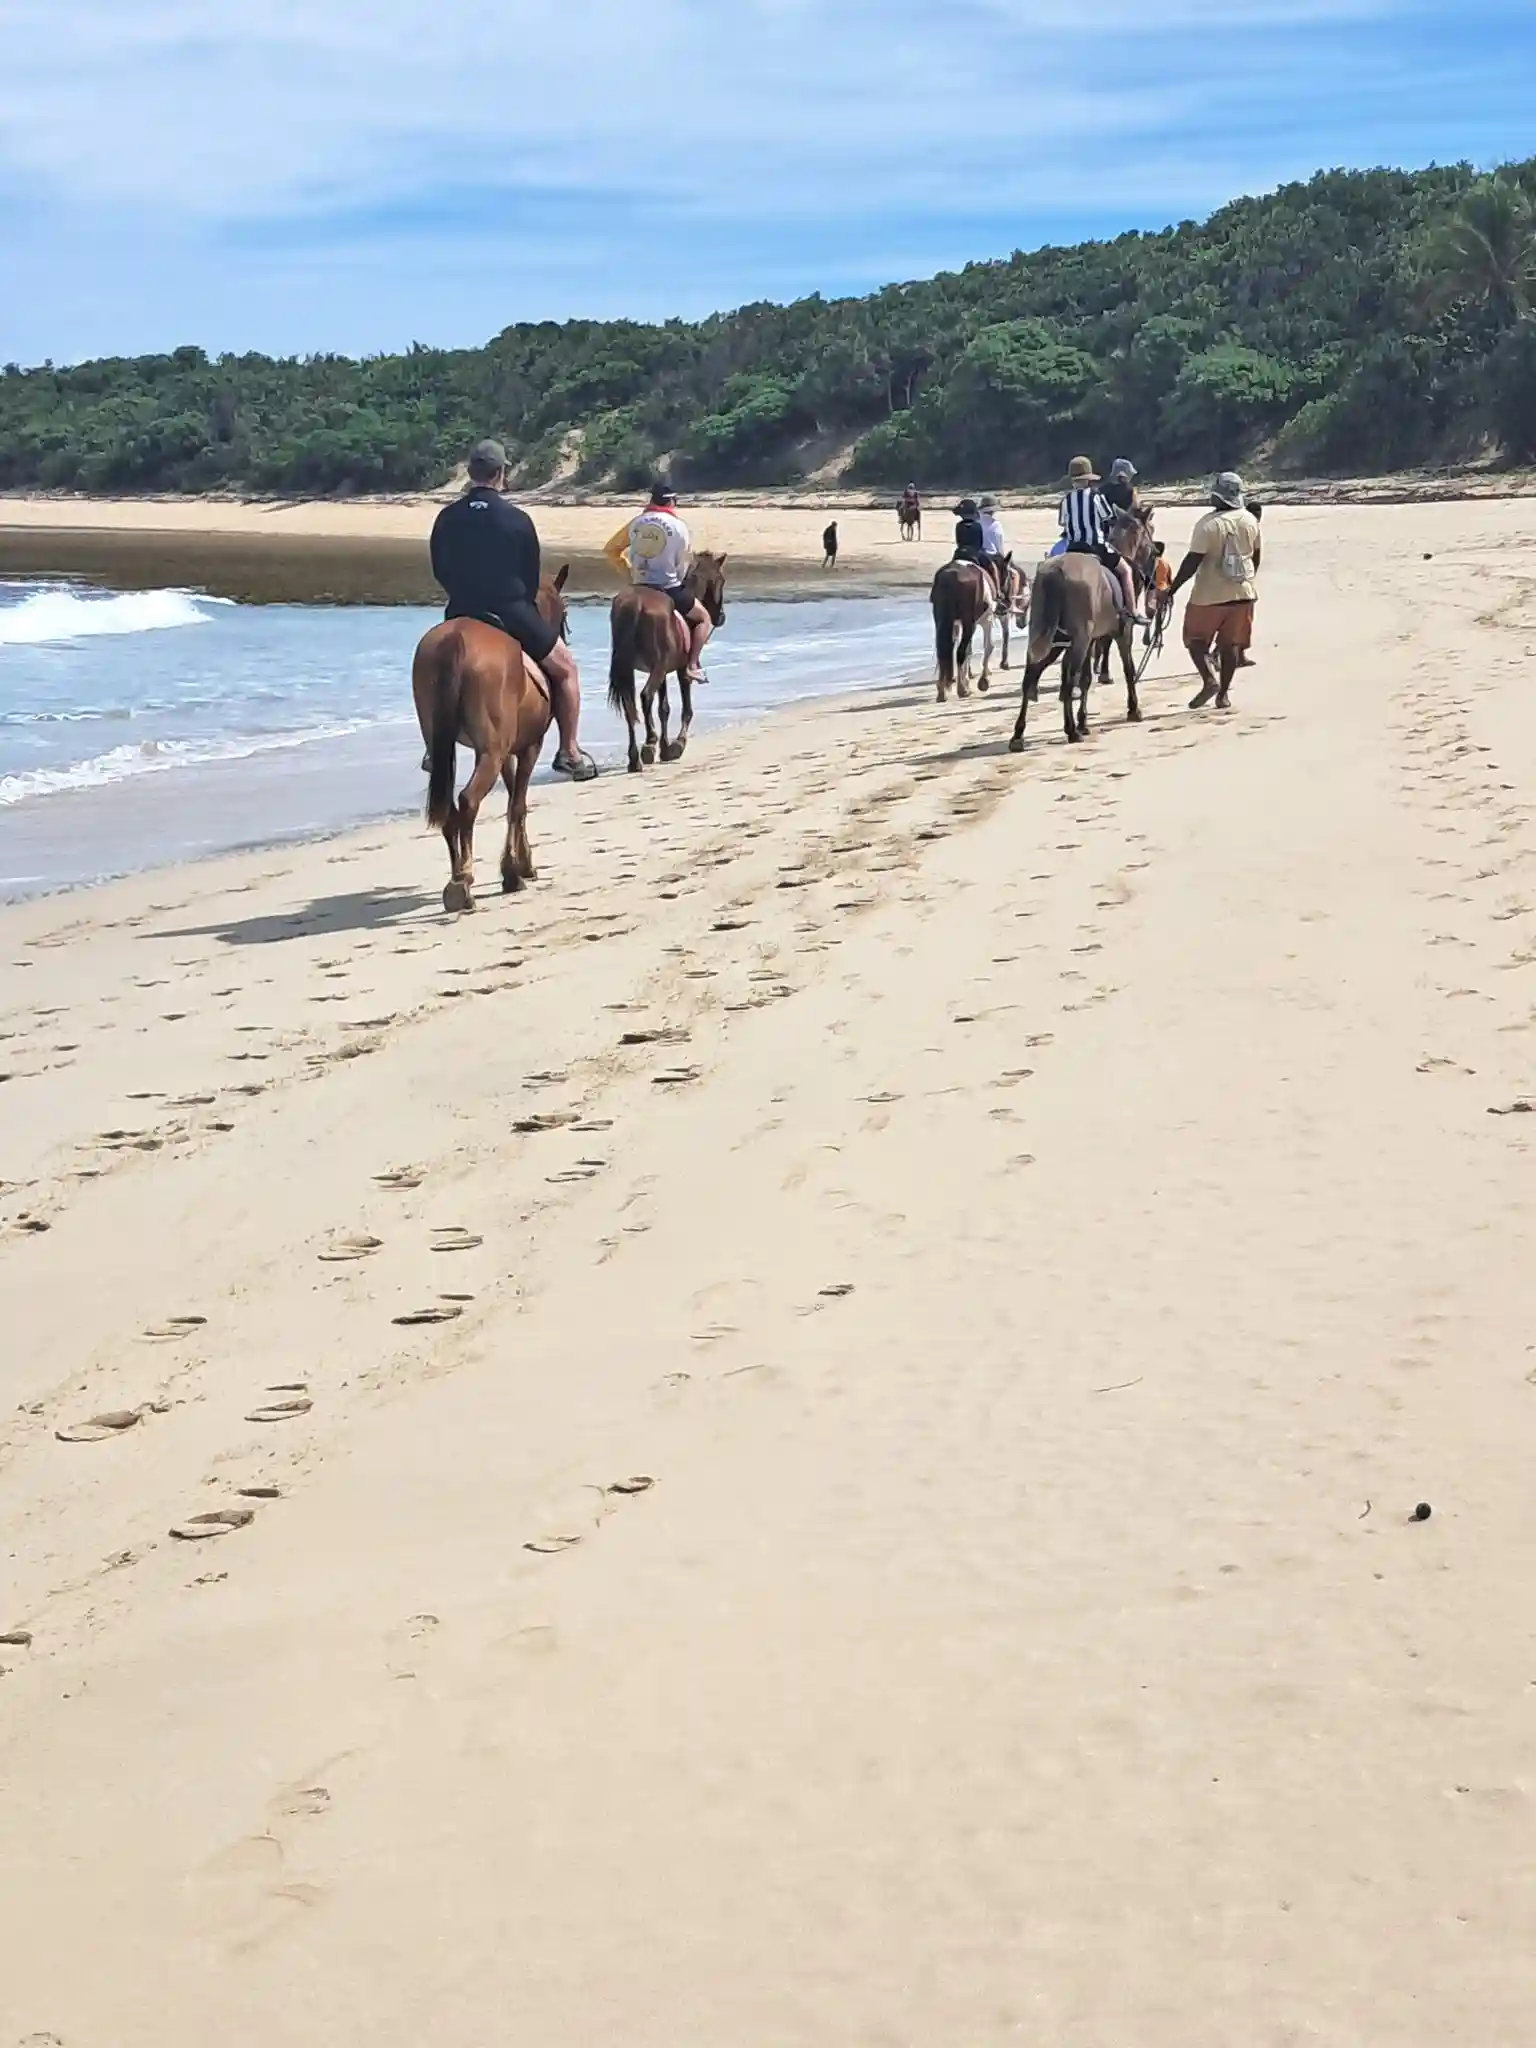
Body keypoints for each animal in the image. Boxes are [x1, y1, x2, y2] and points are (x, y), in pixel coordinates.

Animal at [413, 567, 569, 914]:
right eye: (565, 613)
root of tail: (455, 638)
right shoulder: (528, 748)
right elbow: (517, 805)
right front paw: (516, 870)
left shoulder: (503, 751)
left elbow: (512, 799)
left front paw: (518, 864)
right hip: (492, 753)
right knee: (468, 801)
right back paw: (463, 882)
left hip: (452, 749)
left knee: (449, 807)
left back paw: (456, 881)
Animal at [607, 553, 729, 773]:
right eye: (721, 580)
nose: (721, 617)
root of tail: (635, 603)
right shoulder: (680, 670)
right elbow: (686, 710)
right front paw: (677, 745)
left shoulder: (662, 672)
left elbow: (663, 708)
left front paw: (664, 748)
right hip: (659, 667)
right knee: (646, 696)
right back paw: (648, 745)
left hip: (634, 668)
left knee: (630, 707)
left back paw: (634, 759)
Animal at [930, 558, 997, 701]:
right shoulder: (986, 620)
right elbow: (988, 646)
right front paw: (983, 681)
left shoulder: (956, 624)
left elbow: (968, 651)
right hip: (969, 623)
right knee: (960, 652)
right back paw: (962, 690)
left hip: (943, 621)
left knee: (944, 652)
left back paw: (942, 692)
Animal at [1008, 517, 1143, 749]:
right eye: (1143, 530)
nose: (1157, 549)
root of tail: (1057, 571)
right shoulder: (1122, 633)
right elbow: (1128, 670)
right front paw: (1133, 709)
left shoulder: (1089, 642)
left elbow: (1086, 679)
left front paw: (1083, 722)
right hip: (1076, 640)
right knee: (1068, 680)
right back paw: (1071, 731)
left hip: (1049, 639)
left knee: (1031, 677)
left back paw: (1018, 735)